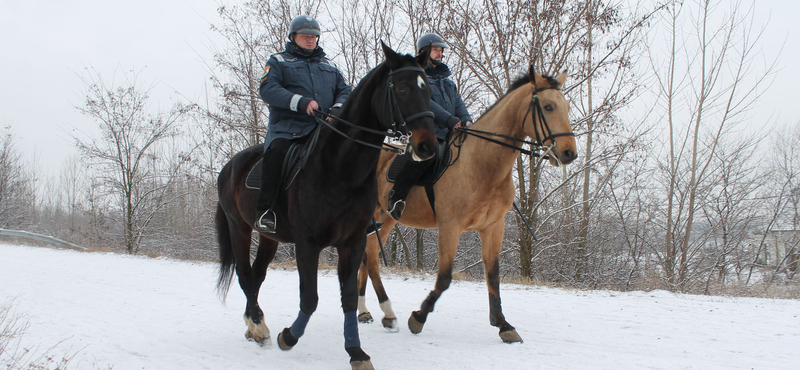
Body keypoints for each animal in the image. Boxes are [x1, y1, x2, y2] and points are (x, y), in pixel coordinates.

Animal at [212, 42, 438, 368]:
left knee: (256, 276)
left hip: (269, 237)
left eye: (429, 90)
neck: (341, 169)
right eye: (403, 88)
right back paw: (258, 326)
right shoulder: (307, 244)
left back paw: (253, 325)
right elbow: (310, 299)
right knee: (244, 275)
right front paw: (288, 337)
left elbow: (347, 297)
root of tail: (230, 166)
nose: (428, 146)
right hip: (238, 228)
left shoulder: (353, 242)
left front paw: (356, 352)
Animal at [356, 66, 576, 344]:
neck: (482, 164)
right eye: (548, 107)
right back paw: (385, 312)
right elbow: (444, 278)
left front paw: (503, 324)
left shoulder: (493, 227)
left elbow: (493, 275)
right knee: (369, 256)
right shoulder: (451, 227)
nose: (569, 153)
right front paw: (418, 317)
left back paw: (368, 312)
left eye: (566, 107)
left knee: (370, 253)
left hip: (387, 219)